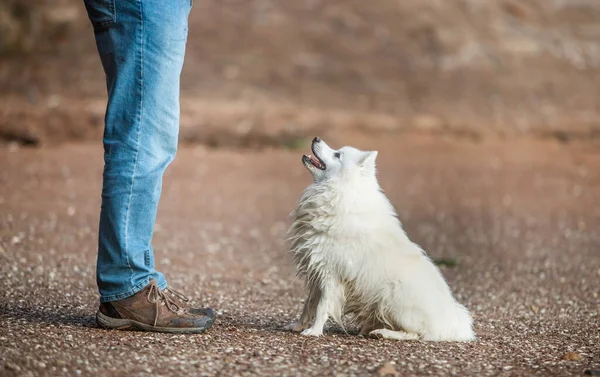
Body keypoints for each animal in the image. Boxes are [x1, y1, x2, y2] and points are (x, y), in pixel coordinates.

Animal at [284, 136, 476, 340]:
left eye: (337, 154)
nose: (316, 138)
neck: (340, 191)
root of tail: (450, 325)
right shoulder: (316, 272)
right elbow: (308, 305)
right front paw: (297, 326)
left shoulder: (331, 274)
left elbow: (322, 307)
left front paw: (314, 331)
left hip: (391, 296)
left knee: (415, 333)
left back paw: (382, 332)